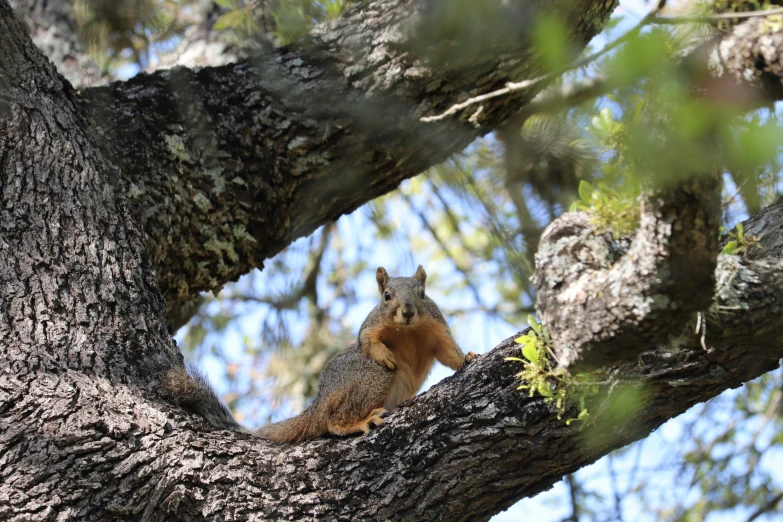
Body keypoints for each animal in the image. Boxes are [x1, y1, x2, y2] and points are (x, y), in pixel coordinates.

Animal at [162, 266, 474, 440]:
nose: (408, 312)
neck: (408, 331)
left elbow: (448, 351)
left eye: (422, 294)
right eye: (386, 296)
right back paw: (357, 422)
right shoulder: (373, 324)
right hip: (368, 378)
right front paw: (383, 352)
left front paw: (467, 358)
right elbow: (365, 340)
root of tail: (319, 402)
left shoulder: (436, 326)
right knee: (333, 422)